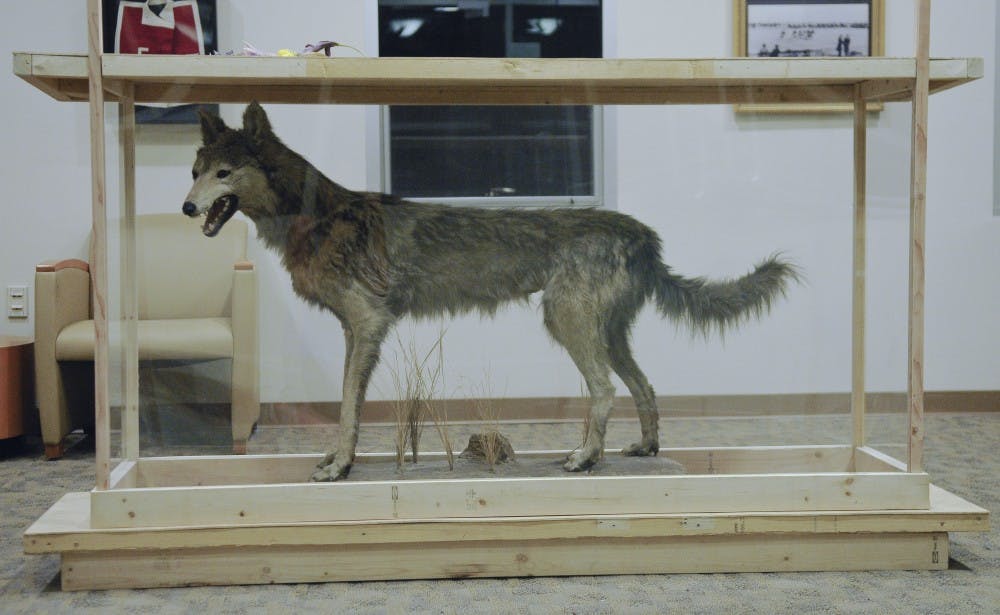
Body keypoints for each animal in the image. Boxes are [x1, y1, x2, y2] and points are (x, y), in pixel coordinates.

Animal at [183, 102, 798, 481]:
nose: (187, 207)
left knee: (605, 392)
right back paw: (645, 451)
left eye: (224, 173)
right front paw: (337, 458)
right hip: (606, 332)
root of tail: (643, 234)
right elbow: (345, 404)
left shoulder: (368, 325)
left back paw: (584, 458)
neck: (316, 214)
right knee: (645, 388)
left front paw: (340, 466)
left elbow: (348, 407)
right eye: (196, 170)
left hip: (567, 323)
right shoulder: (355, 331)